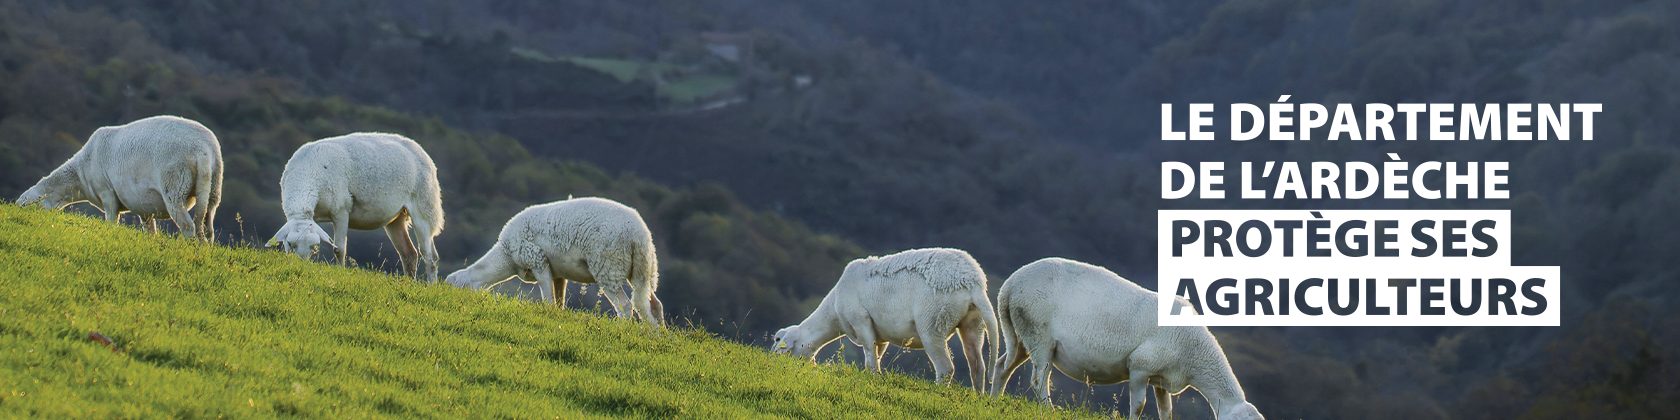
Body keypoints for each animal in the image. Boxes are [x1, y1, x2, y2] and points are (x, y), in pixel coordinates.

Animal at [17, 115, 223, 241]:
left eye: (26, 204)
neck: (81, 172)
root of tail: (203, 151)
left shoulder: (105, 189)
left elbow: (111, 218)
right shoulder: (143, 204)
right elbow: (149, 228)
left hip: (175, 180)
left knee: (187, 225)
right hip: (214, 182)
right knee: (208, 224)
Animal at [267, 131, 443, 282]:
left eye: (314, 246)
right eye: (290, 244)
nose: (301, 266)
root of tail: (420, 150)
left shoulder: (341, 211)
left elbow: (339, 249)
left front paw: (340, 272)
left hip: (424, 207)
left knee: (430, 257)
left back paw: (431, 287)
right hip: (396, 218)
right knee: (409, 254)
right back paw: (409, 284)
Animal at [443, 196, 665, 327]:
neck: (506, 256)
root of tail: (640, 235)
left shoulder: (537, 259)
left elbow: (548, 300)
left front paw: (547, 315)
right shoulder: (558, 273)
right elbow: (559, 302)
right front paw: (557, 317)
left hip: (607, 265)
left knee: (626, 306)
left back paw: (620, 331)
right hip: (641, 269)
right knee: (653, 305)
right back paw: (657, 337)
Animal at [772, 246, 994, 391]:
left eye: (778, 341)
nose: (772, 360)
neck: (833, 313)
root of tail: (973, 282)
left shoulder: (861, 321)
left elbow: (870, 356)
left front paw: (872, 378)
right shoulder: (880, 335)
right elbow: (876, 355)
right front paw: (875, 377)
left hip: (933, 321)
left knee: (946, 368)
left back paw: (938, 392)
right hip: (973, 322)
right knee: (977, 366)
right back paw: (978, 397)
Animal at [981, 257, 1263, 418]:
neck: (1195, 353)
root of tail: (1009, 286)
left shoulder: (1162, 378)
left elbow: (1166, 411)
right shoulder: (1140, 366)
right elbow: (1138, 405)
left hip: (1021, 333)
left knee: (1003, 365)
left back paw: (994, 400)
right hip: (1038, 333)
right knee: (1039, 379)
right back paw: (1049, 410)